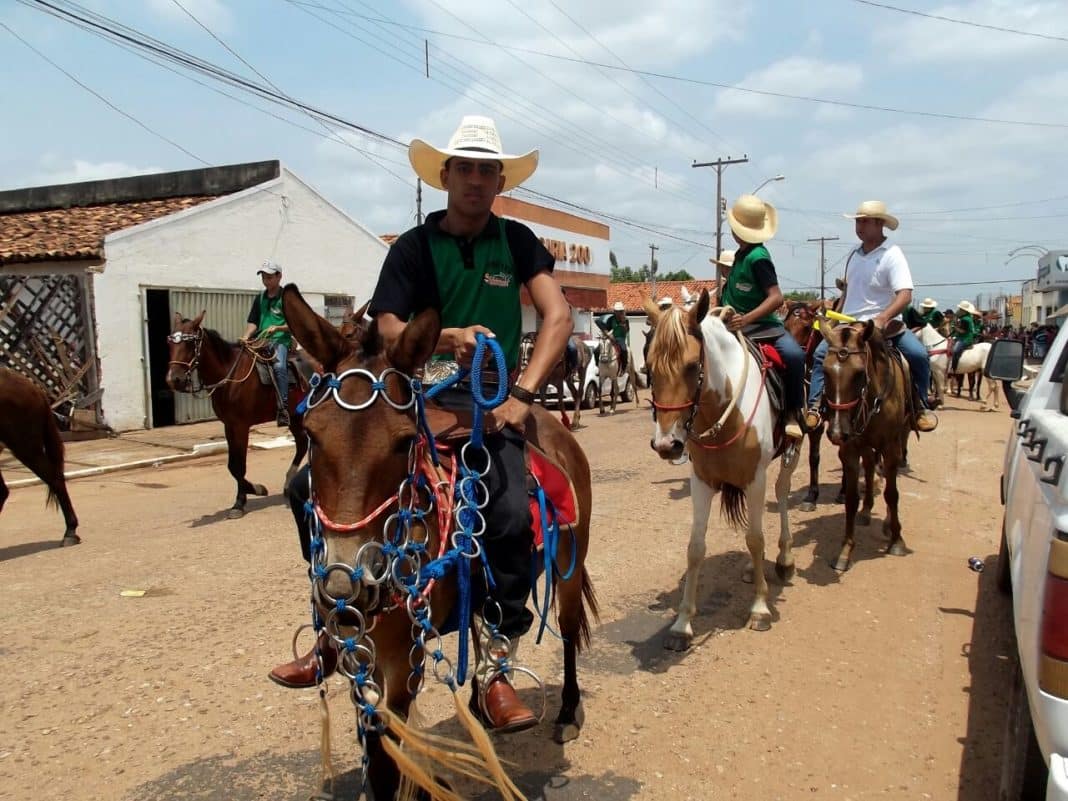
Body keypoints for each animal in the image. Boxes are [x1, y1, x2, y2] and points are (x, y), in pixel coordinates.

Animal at [165, 312, 309, 518]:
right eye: (170, 343)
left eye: (189, 344)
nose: (173, 380)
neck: (229, 375)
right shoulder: (229, 425)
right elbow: (233, 465)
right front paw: (252, 491)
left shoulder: (241, 426)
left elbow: (239, 465)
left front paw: (242, 500)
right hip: (295, 418)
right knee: (302, 444)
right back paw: (289, 485)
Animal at [280, 285, 598, 801]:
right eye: (311, 433)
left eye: (403, 440)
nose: (346, 585)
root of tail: (553, 427)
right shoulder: (358, 652)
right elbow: (374, 748)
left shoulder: (400, 665)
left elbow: (388, 761)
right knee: (484, 624)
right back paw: (490, 701)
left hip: (570, 562)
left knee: (566, 632)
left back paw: (566, 712)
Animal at [643, 290, 799, 649]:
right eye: (649, 368)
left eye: (691, 366)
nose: (667, 444)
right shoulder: (700, 482)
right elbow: (695, 548)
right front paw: (682, 624)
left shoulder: (756, 479)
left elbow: (755, 538)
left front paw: (760, 609)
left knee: (782, 494)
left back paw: (784, 558)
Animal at [818, 319, 911, 571]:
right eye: (825, 371)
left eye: (859, 374)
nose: (837, 432)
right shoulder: (850, 449)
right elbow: (851, 499)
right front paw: (845, 551)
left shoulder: (890, 448)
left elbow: (892, 493)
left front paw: (897, 540)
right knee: (869, 469)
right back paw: (867, 510)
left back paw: (888, 523)